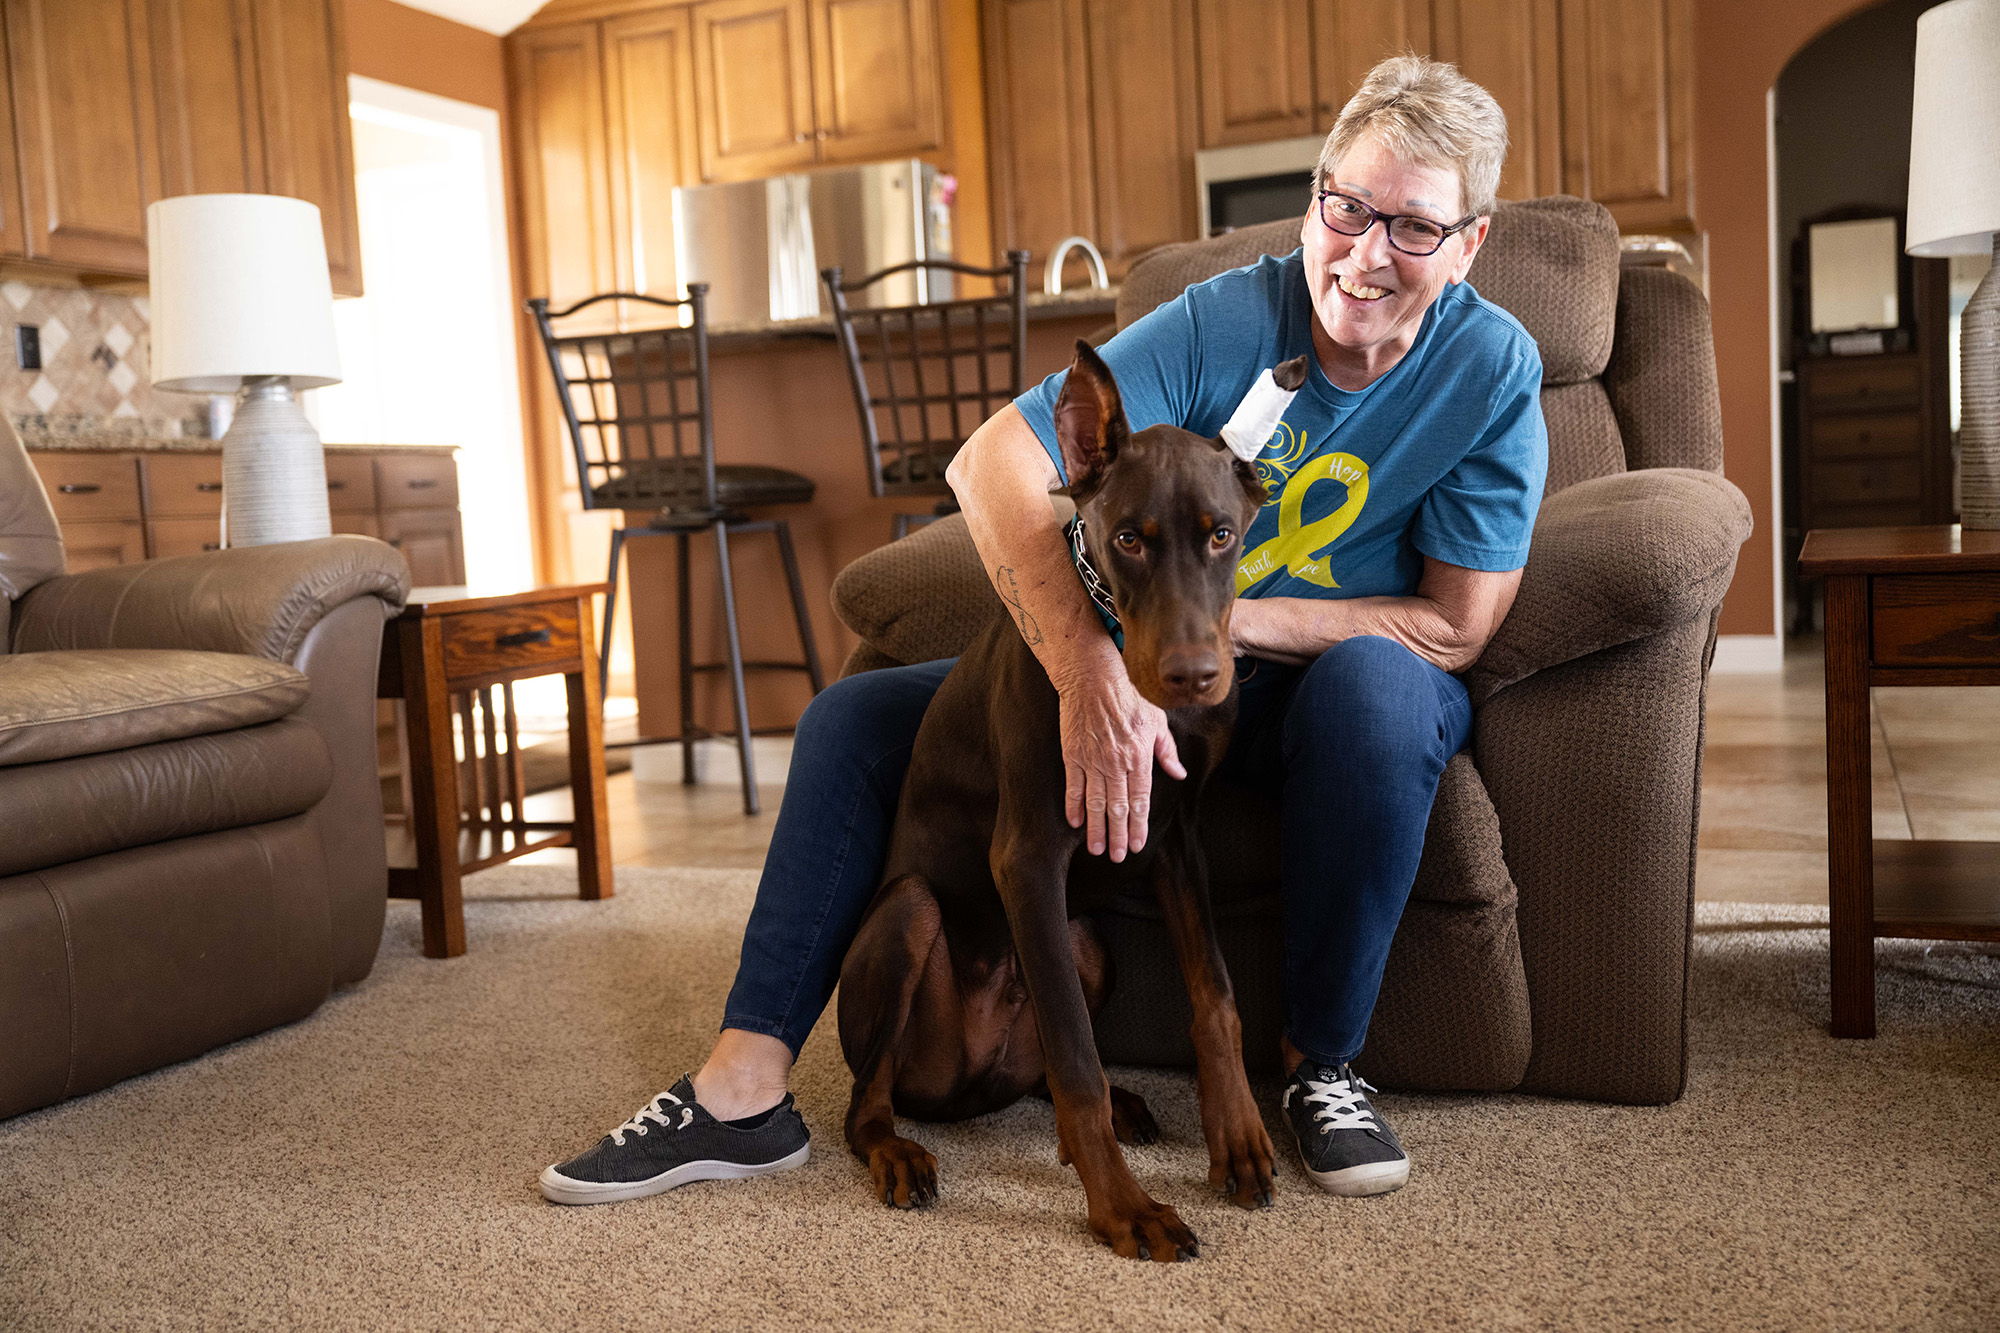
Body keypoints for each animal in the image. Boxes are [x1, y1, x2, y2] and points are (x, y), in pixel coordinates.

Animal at [836, 340, 1304, 1256]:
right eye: (1127, 538)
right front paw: (1125, 1209)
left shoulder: (1175, 837)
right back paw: (899, 1152)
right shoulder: (1028, 857)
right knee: (871, 1100)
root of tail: (965, 1089)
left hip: (1090, 943)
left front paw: (1236, 1135)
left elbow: (1215, 992)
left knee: (1045, 1069)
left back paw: (1119, 1107)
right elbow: (1080, 1058)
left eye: (1223, 534)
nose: (1196, 676)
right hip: (910, 919)